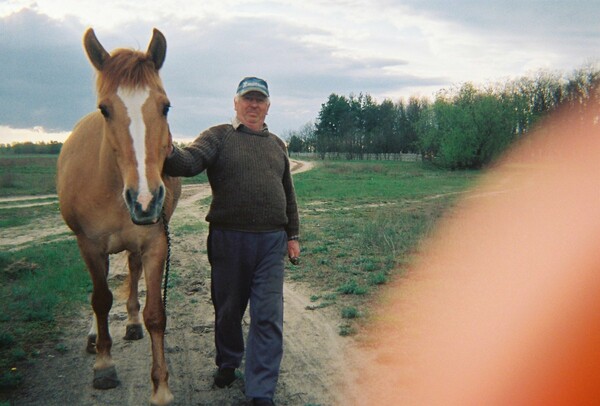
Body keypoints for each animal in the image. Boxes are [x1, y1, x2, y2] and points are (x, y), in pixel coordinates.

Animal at [57, 28, 182, 406]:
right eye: (105, 110)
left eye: (165, 106)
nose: (145, 200)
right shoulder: (89, 245)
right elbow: (100, 300)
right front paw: (104, 366)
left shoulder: (156, 243)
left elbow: (156, 314)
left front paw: (161, 387)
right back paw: (93, 338)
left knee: (132, 274)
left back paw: (131, 323)